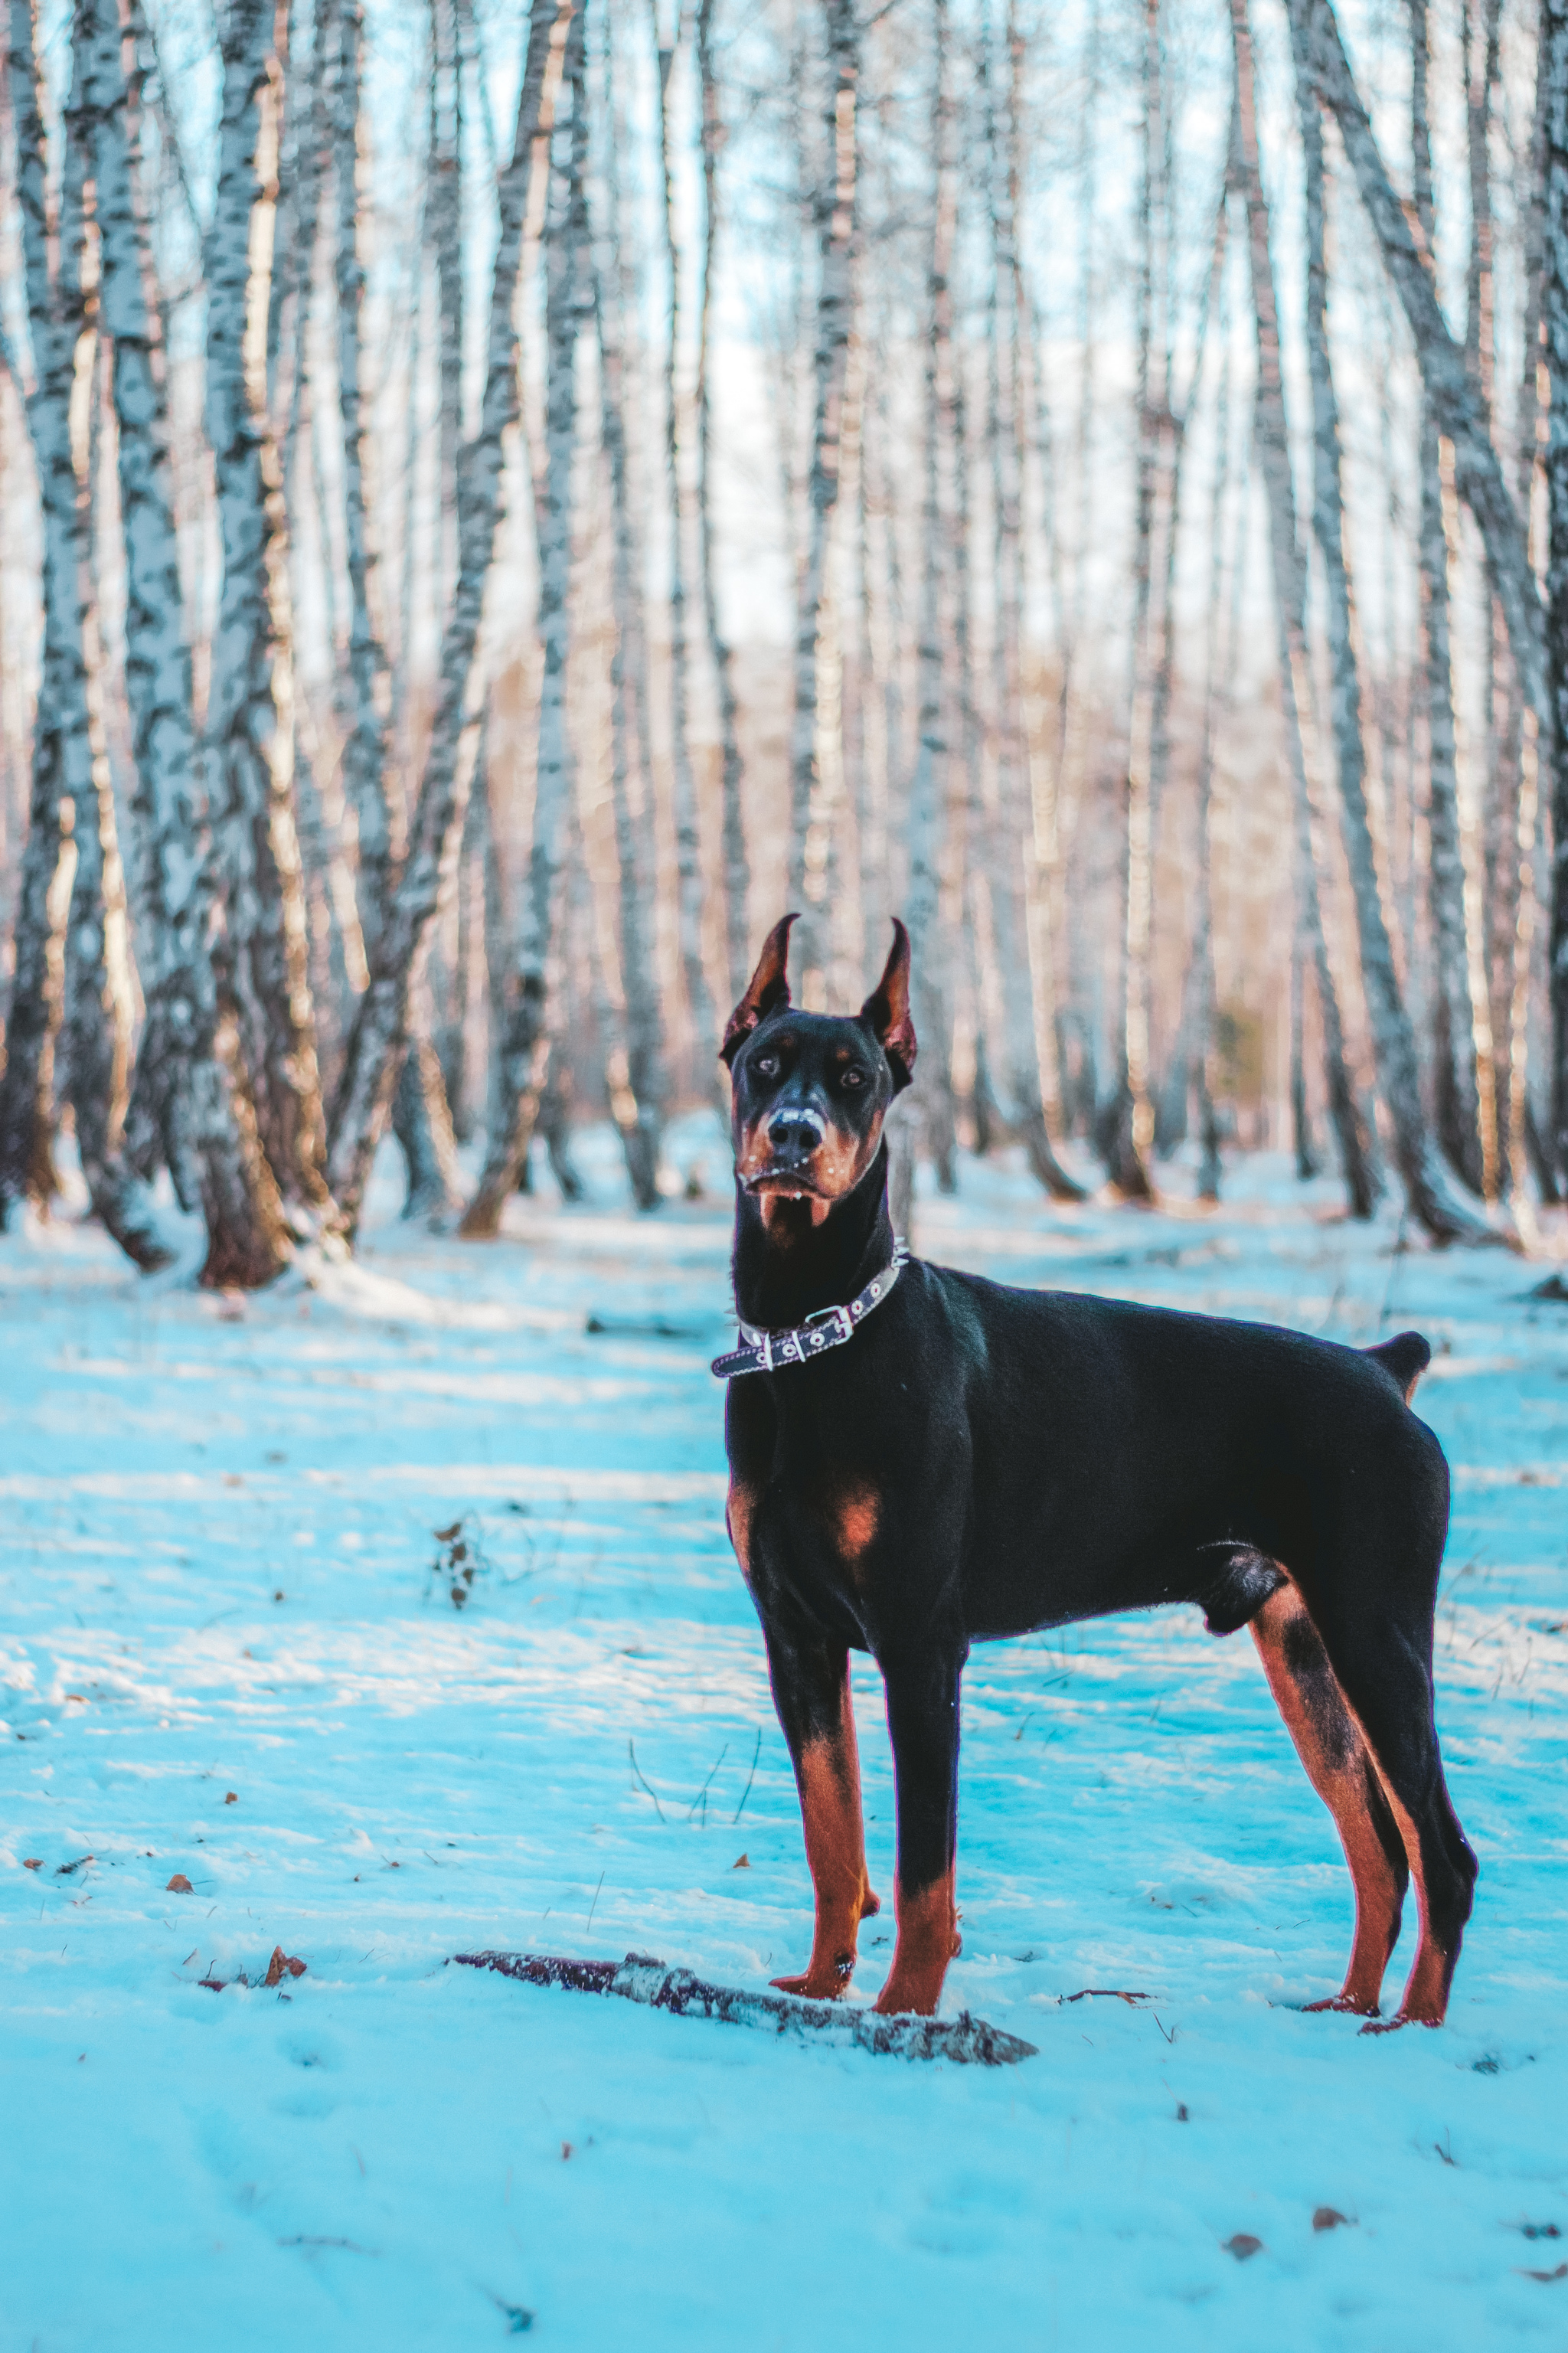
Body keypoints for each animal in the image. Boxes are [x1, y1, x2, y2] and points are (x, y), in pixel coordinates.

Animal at [715, 913, 1468, 2023]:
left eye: (854, 1078)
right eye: (765, 1063)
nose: (795, 1137)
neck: (813, 1334)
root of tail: (1385, 1367)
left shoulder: (920, 1643)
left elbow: (923, 1866)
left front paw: (902, 2011)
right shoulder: (796, 1639)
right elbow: (831, 1835)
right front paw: (819, 1986)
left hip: (1376, 1633)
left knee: (1442, 1852)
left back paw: (1410, 2028)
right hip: (1305, 1651)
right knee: (1378, 1842)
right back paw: (1346, 2009)